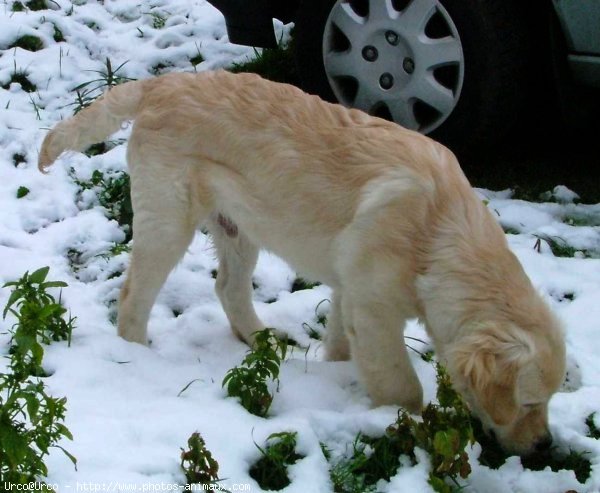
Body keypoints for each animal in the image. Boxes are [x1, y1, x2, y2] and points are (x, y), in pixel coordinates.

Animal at [39, 69, 564, 454]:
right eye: (529, 402)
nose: (544, 446)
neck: (440, 232)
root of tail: (160, 83)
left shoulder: (351, 288)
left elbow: (342, 343)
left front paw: (336, 372)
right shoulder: (374, 307)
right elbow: (401, 386)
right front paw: (410, 424)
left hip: (240, 223)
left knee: (228, 287)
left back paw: (261, 338)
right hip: (169, 219)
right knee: (135, 296)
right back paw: (137, 357)